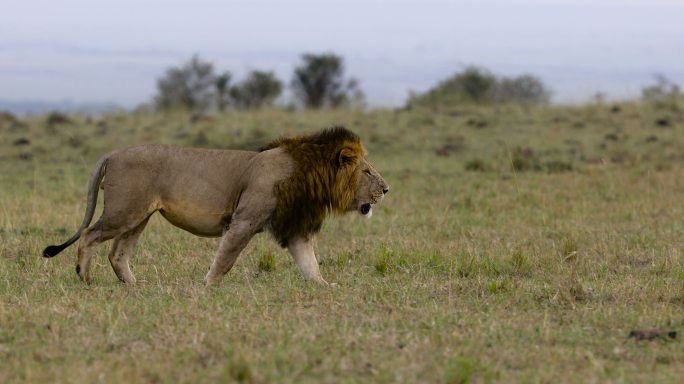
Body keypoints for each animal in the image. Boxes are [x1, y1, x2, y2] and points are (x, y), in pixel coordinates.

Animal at [41, 127, 384, 286]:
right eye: (368, 172)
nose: (386, 189)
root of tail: (112, 153)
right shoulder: (244, 220)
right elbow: (226, 258)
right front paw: (208, 286)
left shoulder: (295, 229)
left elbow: (310, 264)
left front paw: (327, 286)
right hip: (124, 211)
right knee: (89, 236)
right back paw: (85, 278)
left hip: (139, 216)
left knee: (118, 253)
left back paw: (134, 286)